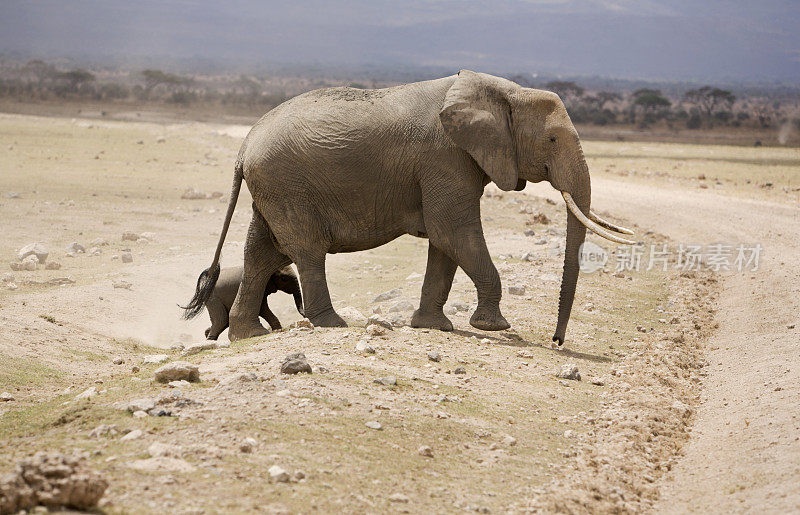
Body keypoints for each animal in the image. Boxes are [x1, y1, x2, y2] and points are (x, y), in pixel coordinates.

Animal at [181, 68, 632, 342]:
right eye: (552, 140)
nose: (556, 341)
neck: (504, 91)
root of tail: (243, 146)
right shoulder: (446, 157)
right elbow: (455, 232)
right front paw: (492, 327)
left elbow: (445, 243)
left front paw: (433, 327)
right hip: (286, 185)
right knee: (305, 250)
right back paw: (331, 325)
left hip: (272, 189)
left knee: (261, 251)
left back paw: (250, 336)